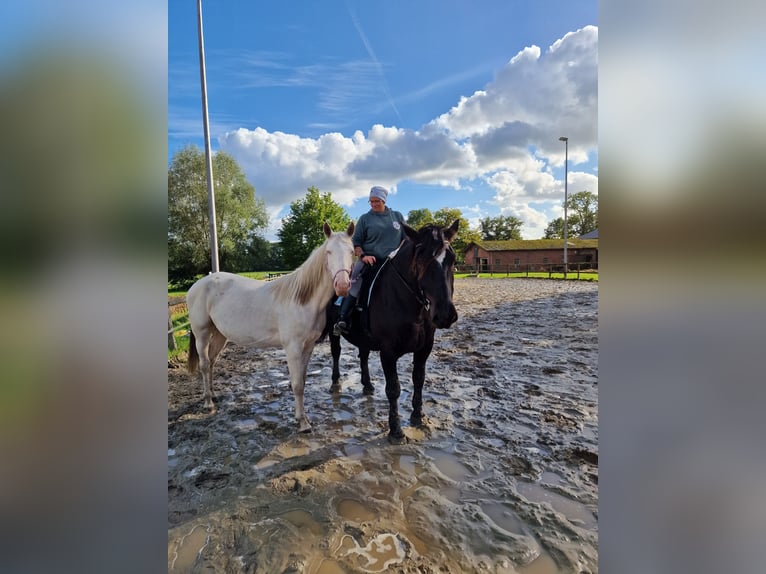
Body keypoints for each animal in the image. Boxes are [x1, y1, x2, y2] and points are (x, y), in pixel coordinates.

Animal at [188, 223, 356, 434]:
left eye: (352, 252)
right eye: (328, 252)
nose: (342, 286)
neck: (302, 300)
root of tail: (197, 284)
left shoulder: (308, 346)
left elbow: (303, 380)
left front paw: (302, 417)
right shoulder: (293, 348)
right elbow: (297, 384)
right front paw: (303, 423)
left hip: (219, 335)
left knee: (211, 362)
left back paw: (213, 395)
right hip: (201, 333)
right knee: (204, 365)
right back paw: (208, 402)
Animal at [322, 223, 460, 444]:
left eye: (453, 259)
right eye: (420, 259)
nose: (445, 314)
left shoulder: (424, 349)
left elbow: (419, 379)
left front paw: (417, 415)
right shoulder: (388, 352)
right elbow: (393, 389)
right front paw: (395, 430)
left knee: (363, 355)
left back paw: (367, 384)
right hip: (333, 332)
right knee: (336, 353)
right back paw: (335, 383)